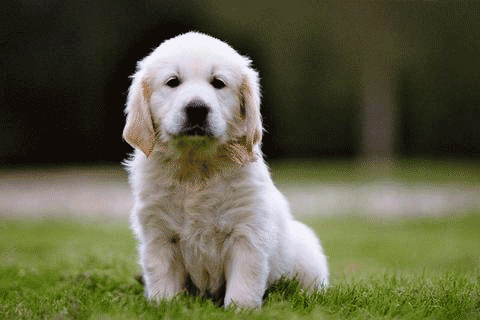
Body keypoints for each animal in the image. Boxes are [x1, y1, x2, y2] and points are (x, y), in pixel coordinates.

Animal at [122, 31, 328, 308]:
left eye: (218, 83)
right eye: (173, 82)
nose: (197, 108)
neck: (196, 168)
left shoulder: (247, 232)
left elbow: (244, 281)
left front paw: (240, 309)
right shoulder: (159, 234)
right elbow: (162, 277)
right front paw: (165, 305)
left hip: (306, 252)